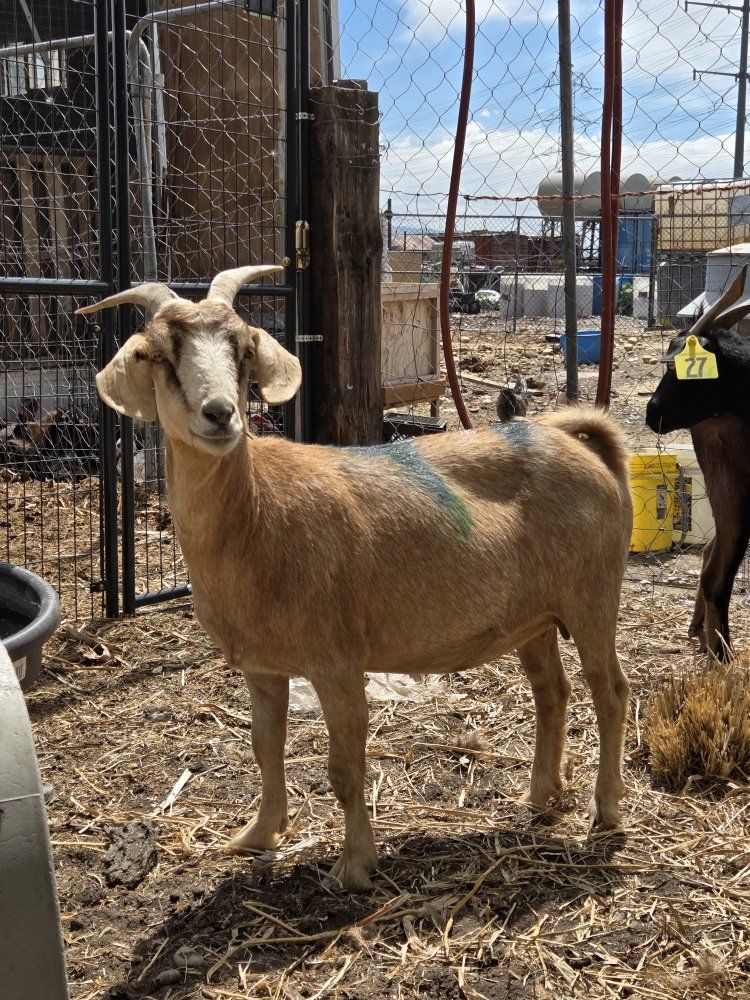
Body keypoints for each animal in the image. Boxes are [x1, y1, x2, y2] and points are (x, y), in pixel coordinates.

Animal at [82, 266, 633, 892]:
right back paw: (543, 796)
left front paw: (354, 865)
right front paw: (256, 835)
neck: (258, 515)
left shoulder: (337, 661)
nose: (220, 414)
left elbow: (344, 766)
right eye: (156, 353)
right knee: (552, 692)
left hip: (593, 595)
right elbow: (265, 748)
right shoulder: (263, 666)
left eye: (243, 349)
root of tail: (579, 443)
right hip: (533, 618)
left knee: (611, 692)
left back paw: (606, 811)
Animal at [646, 265, 750, 660]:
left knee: (711, 555)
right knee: (716, 574)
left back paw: (704, 637)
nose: (653, 413)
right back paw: (721, 656)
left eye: (679, 367)